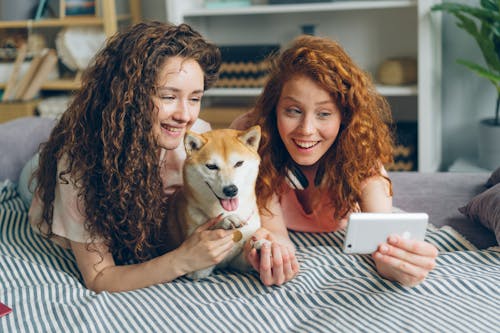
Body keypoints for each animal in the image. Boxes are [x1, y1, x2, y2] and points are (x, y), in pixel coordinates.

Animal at [165, 124, 264, 278]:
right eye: (211, 166)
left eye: (239, 163)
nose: (231, 190)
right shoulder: (195, 269)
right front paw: (225, 221)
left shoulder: (236, 262)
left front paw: (260, 247)